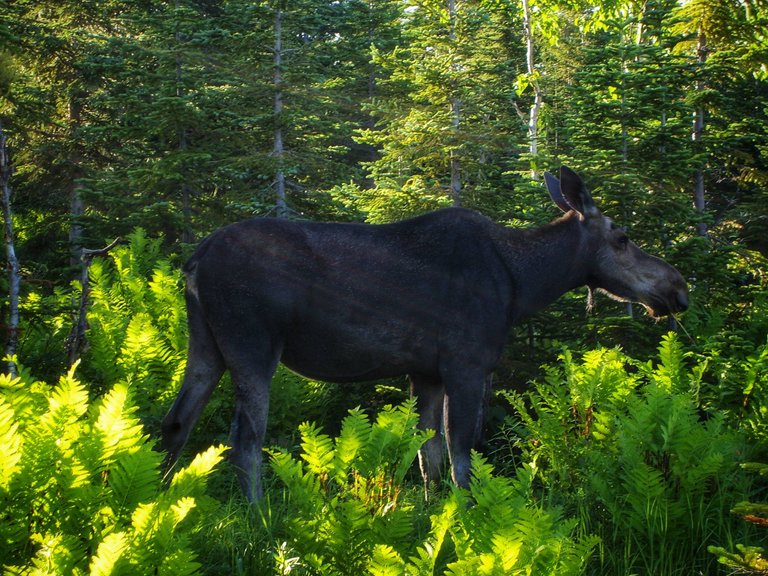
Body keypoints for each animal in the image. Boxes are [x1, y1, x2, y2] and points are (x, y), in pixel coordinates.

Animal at [162, 166, 688, 500]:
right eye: (622, 238)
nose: (678, 287)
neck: (522, 286)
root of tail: (195, 259)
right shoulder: (466, 364)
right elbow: (461, 454)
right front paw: (466, 512)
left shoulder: (426, 372)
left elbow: (427, 454)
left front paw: (434, 510)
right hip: (252, 344)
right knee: (244, 439)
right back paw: (260, 517)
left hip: (207, 345)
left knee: (176, 422)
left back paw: (160, 501)